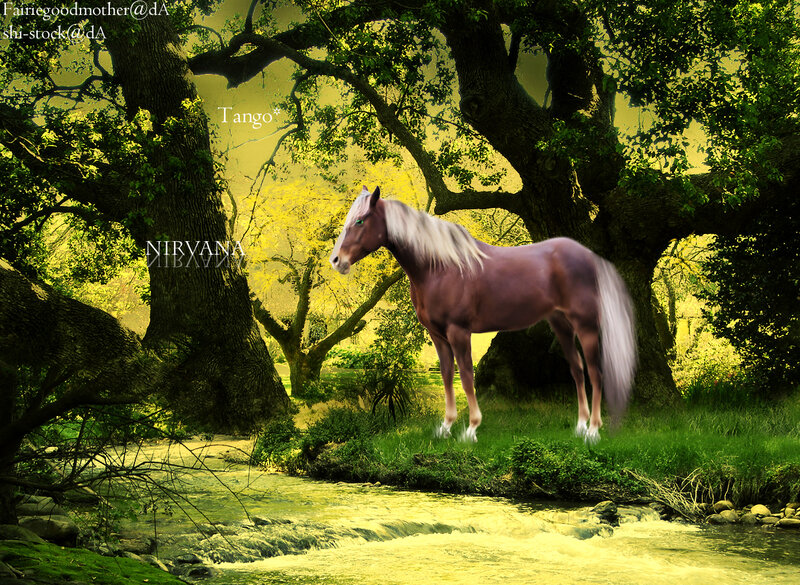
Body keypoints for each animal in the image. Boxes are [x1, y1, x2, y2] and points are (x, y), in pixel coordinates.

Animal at [330, 186, 637, 444]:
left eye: (360, 221)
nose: (336, 261)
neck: (440, 267)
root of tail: (589, 257)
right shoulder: (438, 335)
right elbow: (447, 375)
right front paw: (445, 427)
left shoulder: (458, 331)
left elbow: (466, 376)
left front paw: (471, 429)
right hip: (561, 324)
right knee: (577, 369)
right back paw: (580, 426)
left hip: (586, 325)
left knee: (595, 372)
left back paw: (594, 431)